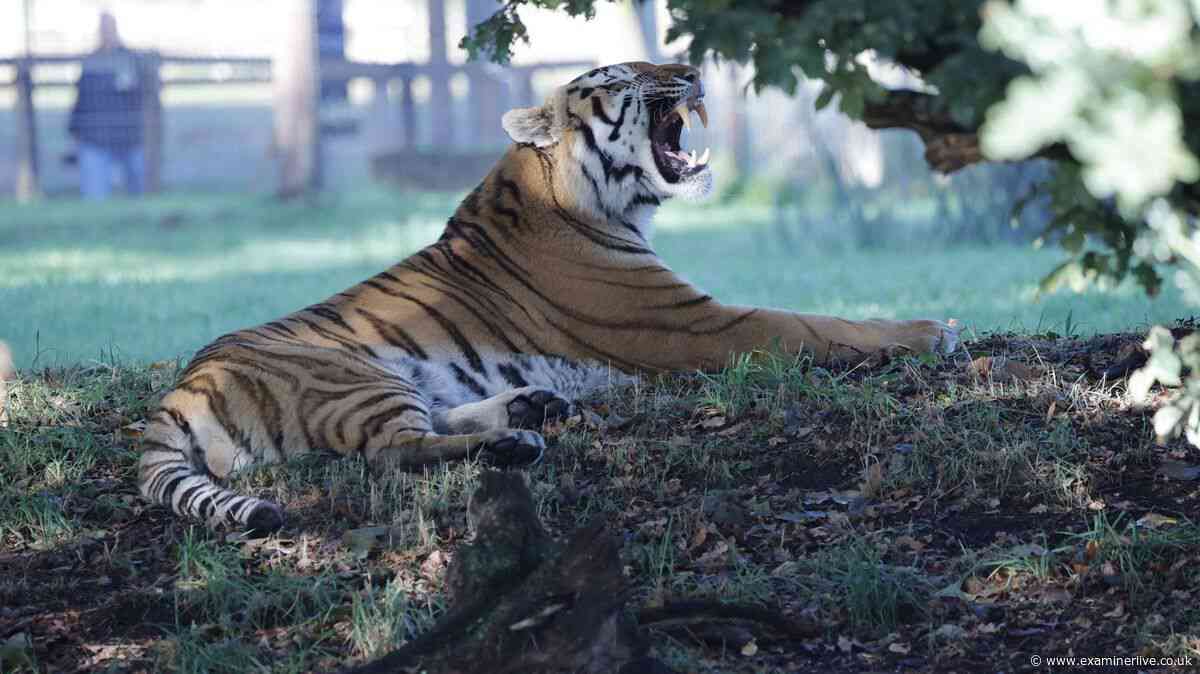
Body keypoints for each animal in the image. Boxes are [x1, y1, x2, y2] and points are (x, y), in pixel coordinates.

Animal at [138, 62, 960, 533]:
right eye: (623, 74)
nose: (693, 67)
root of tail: (180, 388)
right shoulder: (702, 324)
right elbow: (817, 324)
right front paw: (933, 329)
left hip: (393, 377)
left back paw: (533, 406)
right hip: (350, 374)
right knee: (393, 452)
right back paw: (516, 441)